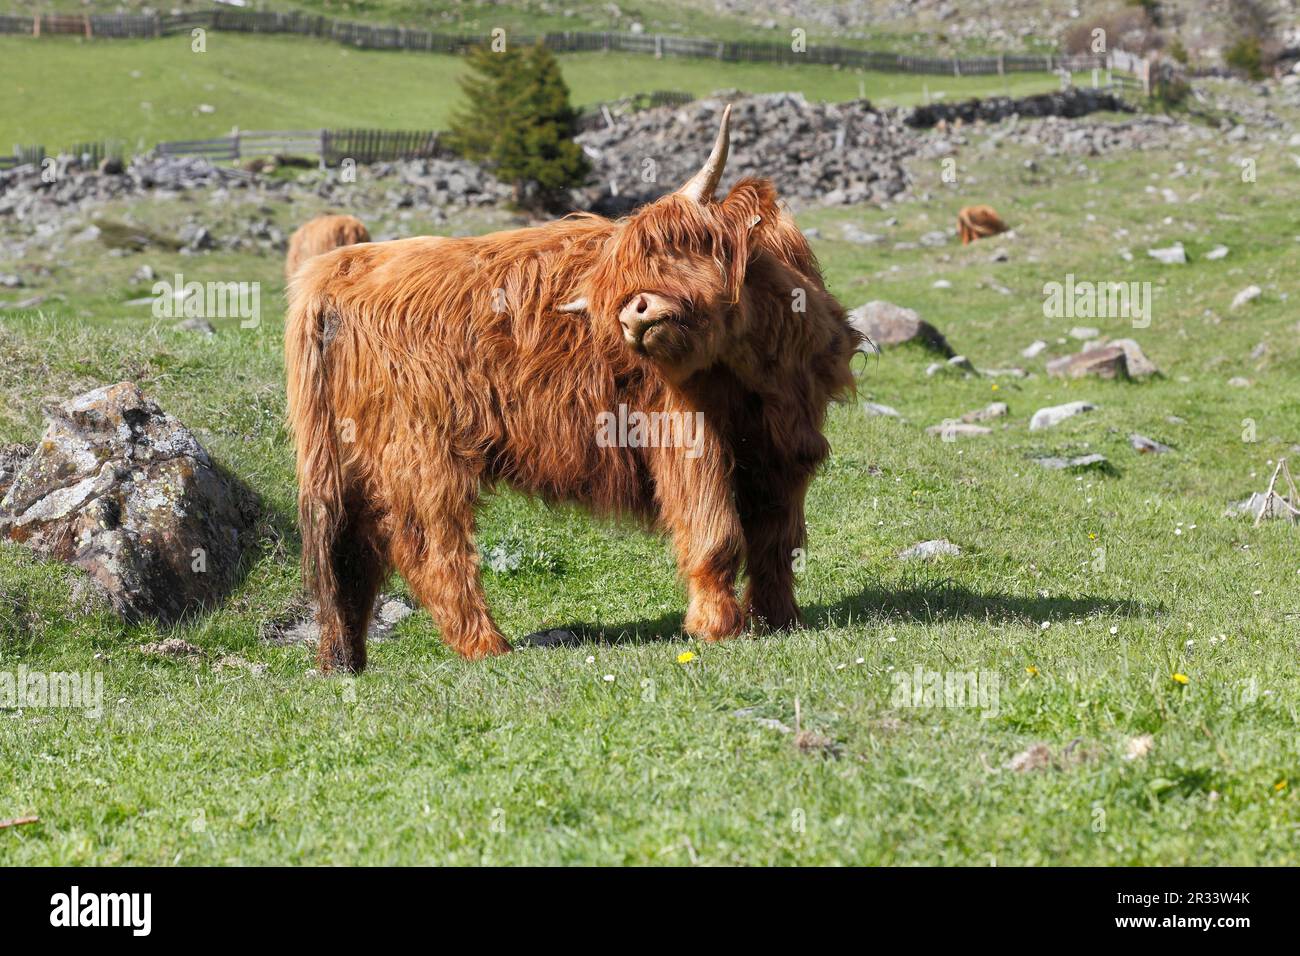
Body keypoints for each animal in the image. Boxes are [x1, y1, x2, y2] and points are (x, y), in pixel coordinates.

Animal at [285, 106, 860, 671]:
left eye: (677, 246)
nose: (634, 312)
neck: (751, 367)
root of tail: (337, 268)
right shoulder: (687, 435)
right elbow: (715, 531)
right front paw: (718, 626)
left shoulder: (787, 443)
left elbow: (777, 541)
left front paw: (780, 619)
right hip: (419, 450)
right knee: (427, 547)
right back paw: (486, 645)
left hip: (348, 458)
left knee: (349, 550)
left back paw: (345, 658)